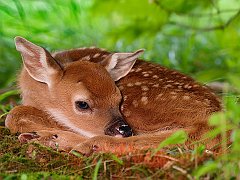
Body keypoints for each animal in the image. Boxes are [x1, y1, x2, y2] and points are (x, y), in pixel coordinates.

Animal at [5, 36, 221, 155]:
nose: (124, 129)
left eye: (119, 99)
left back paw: (51, 139)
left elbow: (13, 116)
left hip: (143, 110)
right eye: (82, 104)